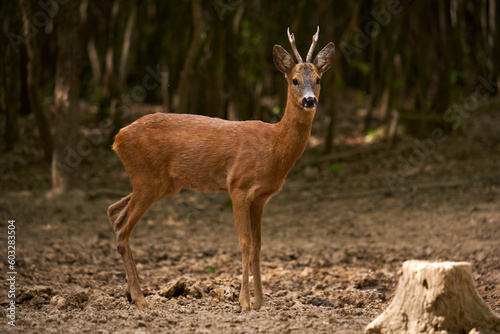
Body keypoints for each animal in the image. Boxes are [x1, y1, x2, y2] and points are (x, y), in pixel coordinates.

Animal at [109, 27, 336, 312]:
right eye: (294, 80)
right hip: (147, 176)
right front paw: (245, 303)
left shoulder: (261, 197)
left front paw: (261, 302)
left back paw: (132, 294)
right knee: (122, 225)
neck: (273, 146)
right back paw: (140, 300)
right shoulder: (238, 186)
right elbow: (245, 243)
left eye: (318, 79)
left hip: (159, 182)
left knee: (113, 210)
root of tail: (117, 138)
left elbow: (258, 246)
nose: (309, 100)